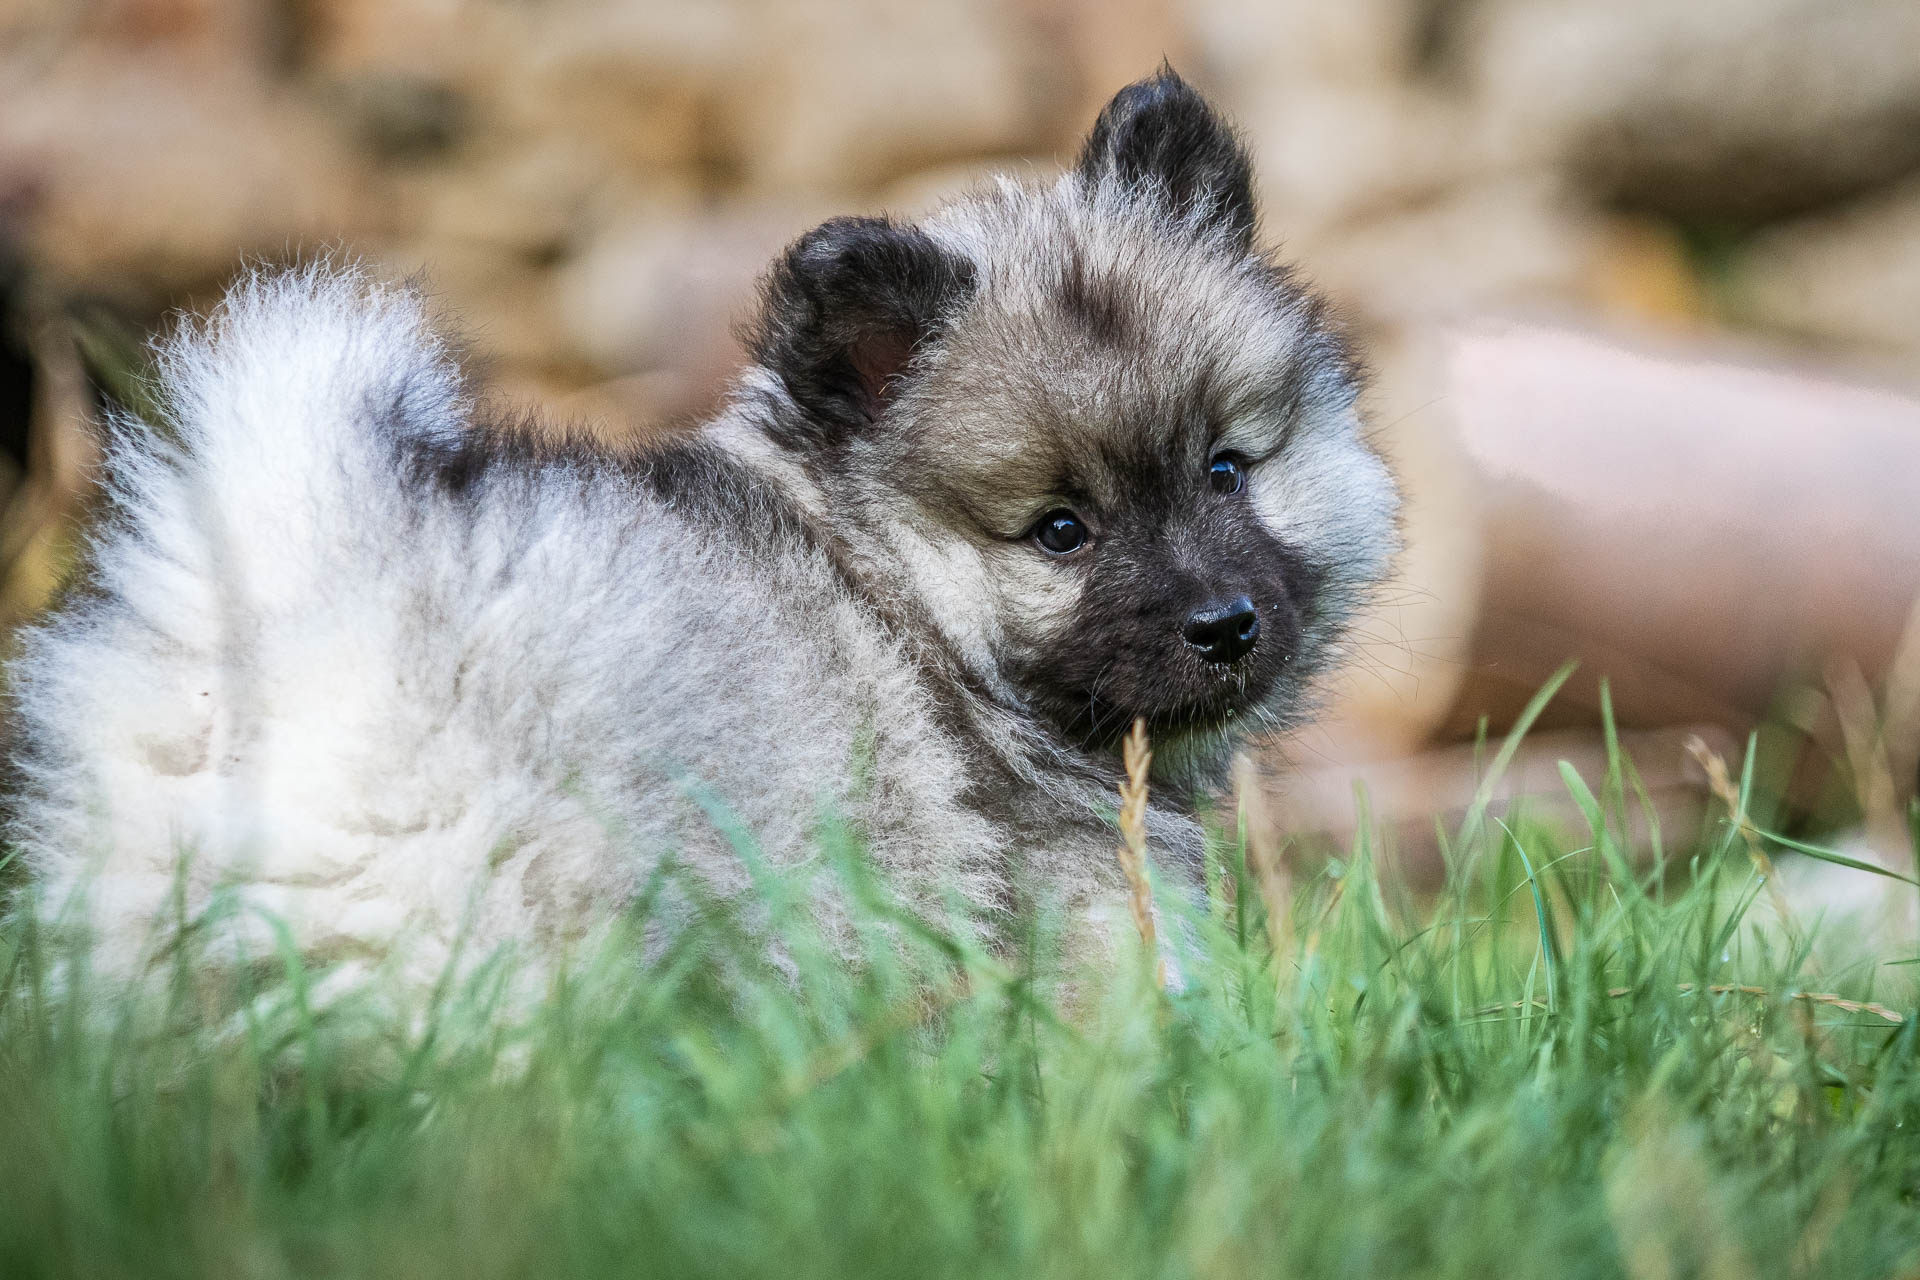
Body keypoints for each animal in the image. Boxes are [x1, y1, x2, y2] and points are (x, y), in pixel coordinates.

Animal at [7, 72, 1405, 990]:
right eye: (1061, 530)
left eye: (1227, 470)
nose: (1225, 625)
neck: (901, 596)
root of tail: (299, 569)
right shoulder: (1071, 896)